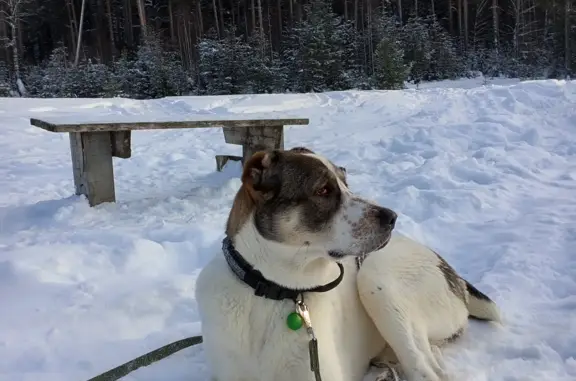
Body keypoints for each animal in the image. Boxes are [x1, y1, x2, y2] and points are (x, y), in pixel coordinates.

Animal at [195, 146, 500, 380]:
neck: (273, 291)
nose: (391, 217)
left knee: (427, 369)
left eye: (345, 182)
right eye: (323, 190)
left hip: (375, 278)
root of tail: (456, 277)